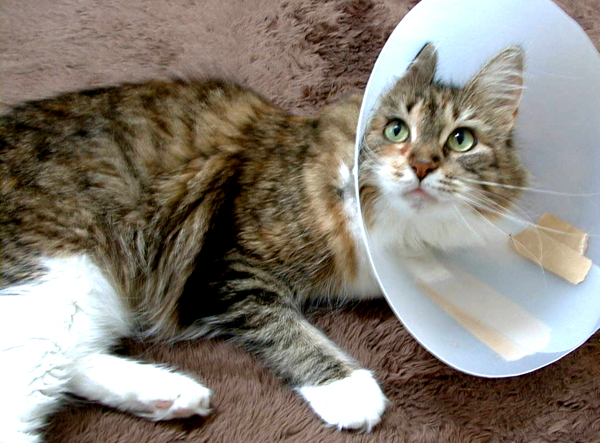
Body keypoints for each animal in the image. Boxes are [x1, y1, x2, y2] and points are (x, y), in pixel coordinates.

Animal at [0, 43, 526, 442]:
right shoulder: (229, 267)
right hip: (60, 277)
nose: (420, 166)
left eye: (461, 140)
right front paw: (347, 388)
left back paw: (167, 394)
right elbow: (286, 330)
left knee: (60, 364)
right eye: (397, 129)